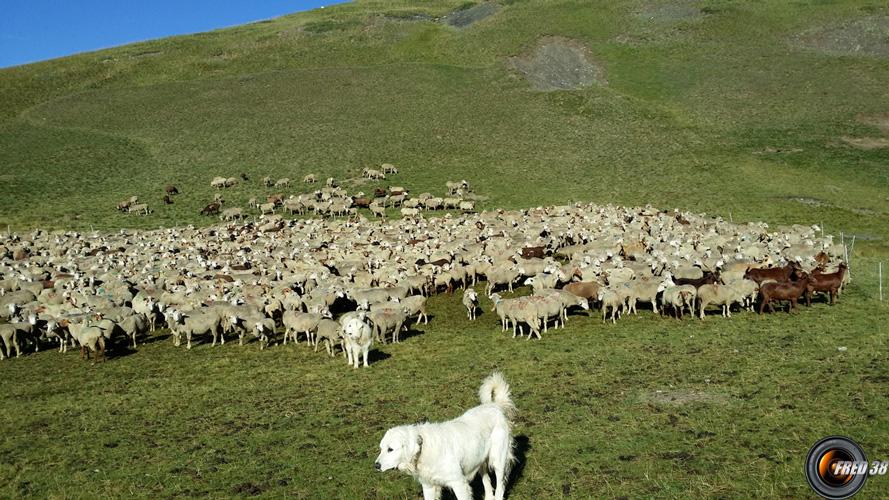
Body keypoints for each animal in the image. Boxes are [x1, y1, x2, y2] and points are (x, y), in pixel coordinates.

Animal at [372, 374, 512, 498]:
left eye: (390, 449)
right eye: (381, 449)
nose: (376, 466)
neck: (423, 448)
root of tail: (494, 406)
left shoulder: (459, 483)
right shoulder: (428, 486)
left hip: (498, 459)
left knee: (500, 486)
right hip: (479, 459)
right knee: (486, 480)